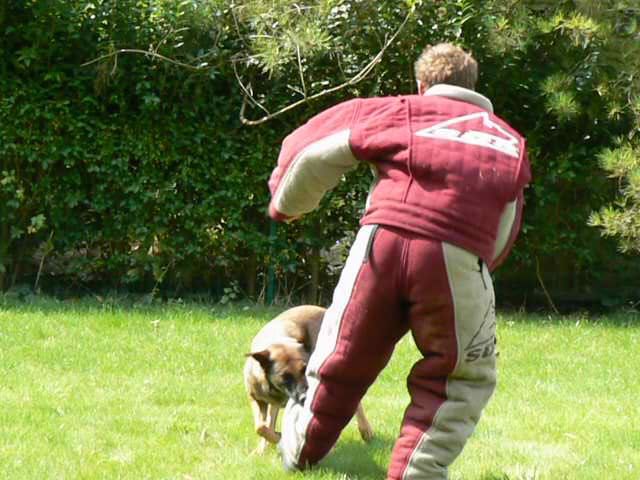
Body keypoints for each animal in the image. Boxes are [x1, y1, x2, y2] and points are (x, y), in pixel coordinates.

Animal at [245, 306, 376, 456]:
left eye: (304, 369)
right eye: (285, 376)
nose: (304, 397)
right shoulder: (256, 398)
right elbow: (260, 427)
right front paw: (270, 442)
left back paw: (365, 429)